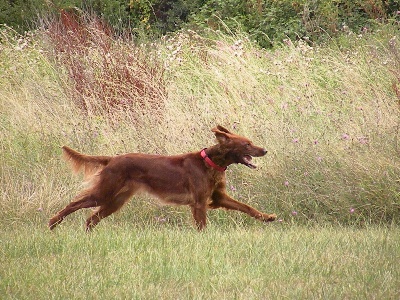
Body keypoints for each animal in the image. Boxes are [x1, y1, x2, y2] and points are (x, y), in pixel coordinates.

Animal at [48, 125, 276, 231]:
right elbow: (202, 225)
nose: (264, 150)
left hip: (115, 201)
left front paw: (268, 217)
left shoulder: (218, 197)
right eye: (247, 144)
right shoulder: (199, 202)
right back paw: (52, 223)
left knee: (91, 218)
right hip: (104, 194)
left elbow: (247, 207)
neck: (210, 162)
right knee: (74, 204)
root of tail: (112, 159)